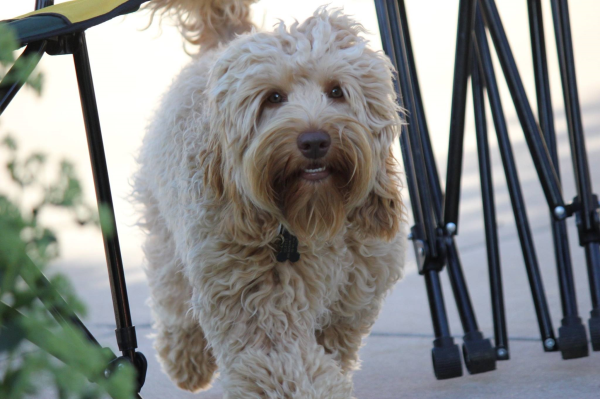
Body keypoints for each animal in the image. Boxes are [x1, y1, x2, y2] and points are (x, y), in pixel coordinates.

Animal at [136, 0, 408, 396]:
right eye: (274, 98)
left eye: (337, 91)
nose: (314, 141)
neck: (312, 217)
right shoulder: (253, 306)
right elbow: (283, 366)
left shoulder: (353, 300)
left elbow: (332, 348)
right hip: (166, 227)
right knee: (170, 289)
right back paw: (187, 361)